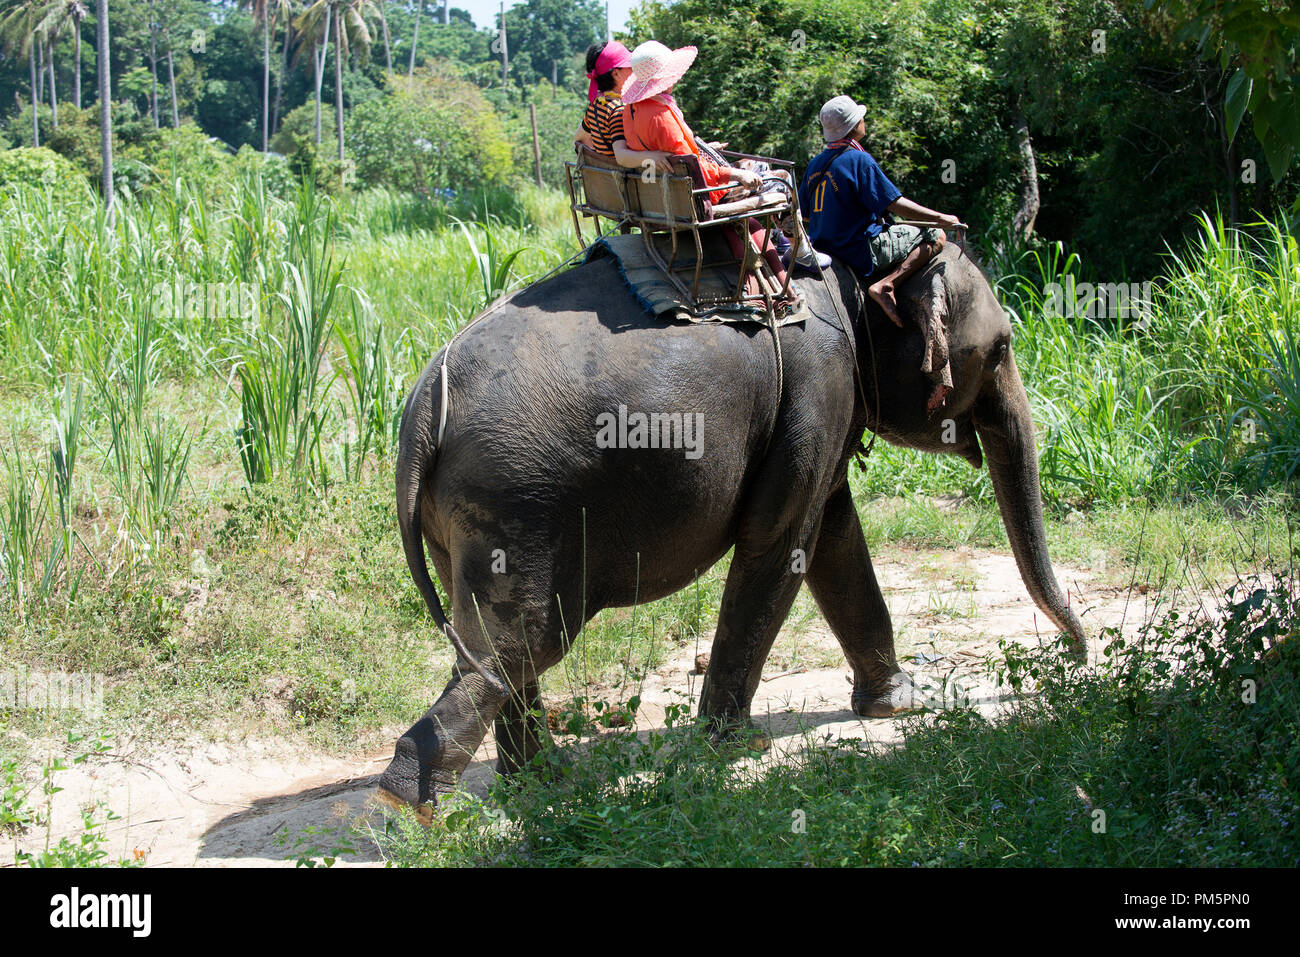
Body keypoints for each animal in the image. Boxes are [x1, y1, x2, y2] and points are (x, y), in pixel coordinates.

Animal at [379, 240, 1086, 816]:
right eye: (1001, 350)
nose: (1080, 654)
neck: (856, 270)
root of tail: (422, 409)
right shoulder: (819, 382)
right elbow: (782, 540)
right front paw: (733, 746)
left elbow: (831, 534)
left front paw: (899, 704)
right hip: (519, 503)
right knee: (521, 643)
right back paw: (411, 805)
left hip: (467, 518)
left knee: (497, 644)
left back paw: (542, 784)